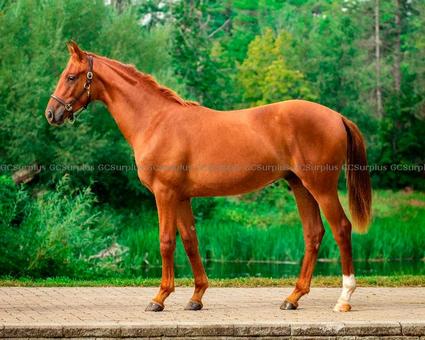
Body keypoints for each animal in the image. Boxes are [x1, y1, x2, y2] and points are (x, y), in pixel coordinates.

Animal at [44, 42, 370, 314]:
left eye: (71, 76)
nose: (51, 113)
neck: (156, 121)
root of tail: (337, 117)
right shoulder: (182, 197)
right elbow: (190, 241)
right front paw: (196, 297)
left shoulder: (164, 194)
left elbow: (166, 241)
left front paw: (159, 298)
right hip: (300, 186)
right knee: (313, 233)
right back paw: (293, 297)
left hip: (321, 187)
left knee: (341, 228)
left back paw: (343, 298)